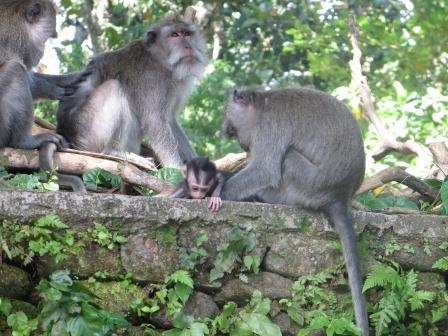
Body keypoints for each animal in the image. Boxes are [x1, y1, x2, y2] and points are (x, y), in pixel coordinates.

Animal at [222, 87, 370, 336]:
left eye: (233, 129)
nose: (243, 145)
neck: (262, 103)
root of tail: (339, 195)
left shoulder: (269, 127)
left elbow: (264, 170)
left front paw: (217, 189)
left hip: (306, 184)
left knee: (288, 158)